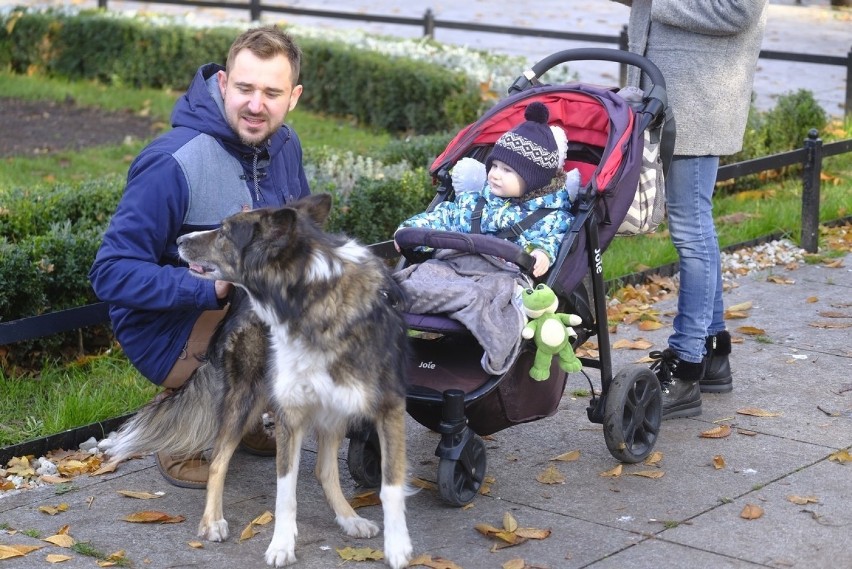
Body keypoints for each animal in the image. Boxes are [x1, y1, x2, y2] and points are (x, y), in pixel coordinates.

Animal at [106, 193, 412, 564]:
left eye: (225, 232)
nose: (179, 240)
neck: (313, 300)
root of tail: (239, 302)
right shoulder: (290, 412)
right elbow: (285, 492)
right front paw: (281, 545)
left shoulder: (388, 408)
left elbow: (391, 486)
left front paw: (397, 548)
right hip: (246, 395)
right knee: (218, 460)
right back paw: (212, 521)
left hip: (334, 406)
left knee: (324, 469)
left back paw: (349, 518)